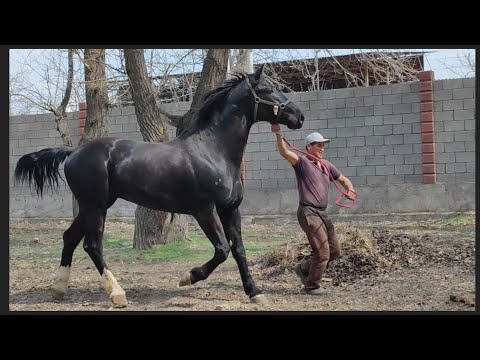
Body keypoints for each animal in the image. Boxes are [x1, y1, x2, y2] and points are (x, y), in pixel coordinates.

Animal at [16, 64, 306, 306]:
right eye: (267, 90)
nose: (299, 116)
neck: (213, 151)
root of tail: (73, 152)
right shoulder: (204, 210)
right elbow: (222, 250)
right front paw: (188, 277)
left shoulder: (230, 210)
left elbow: (239, 250)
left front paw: (255, 293)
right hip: (95, 206)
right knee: (92, 244)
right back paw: (117, 294)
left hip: (94, 206)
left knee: (70, 238)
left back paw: (58, 290)